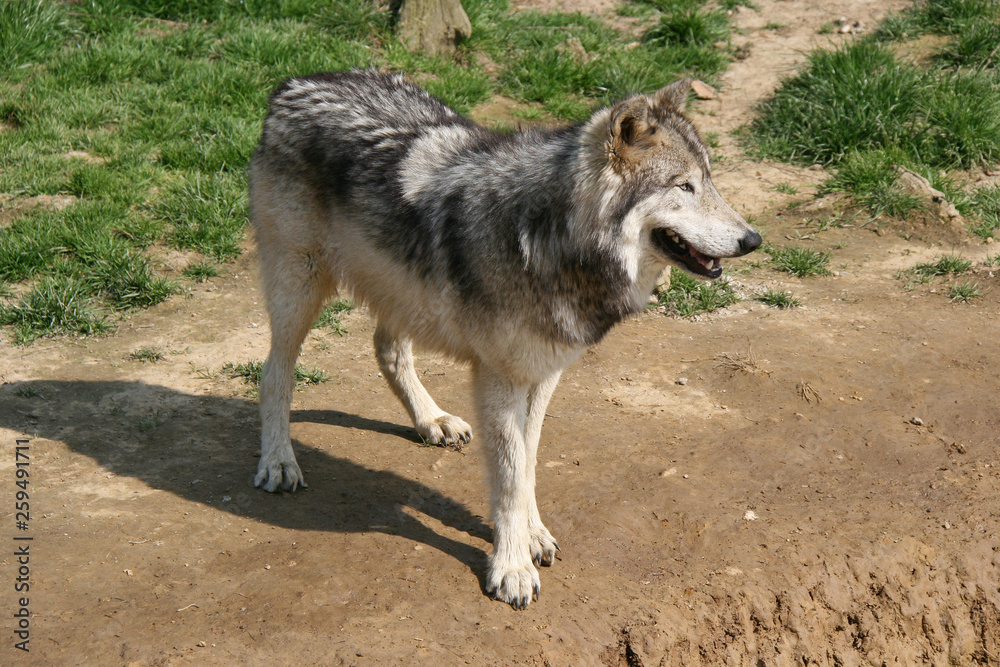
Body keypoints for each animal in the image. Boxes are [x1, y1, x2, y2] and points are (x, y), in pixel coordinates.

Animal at [248, 71, 760, 609]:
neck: (547, 237)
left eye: (710, 181)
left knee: (387, 349)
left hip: (401, 292)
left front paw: (530, 536)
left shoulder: (543, 375)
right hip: (301, 286)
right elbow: (511, 474)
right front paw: (511, 567)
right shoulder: (500, 379)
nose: (753, 240)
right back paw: (278, 461)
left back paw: (432, 420)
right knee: (274, 372)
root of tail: (296, 82)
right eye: (684, 186)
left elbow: (528, 462)